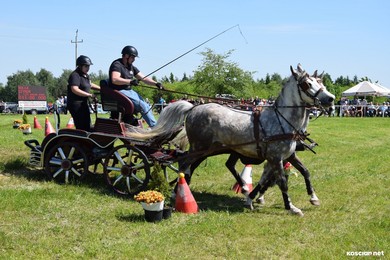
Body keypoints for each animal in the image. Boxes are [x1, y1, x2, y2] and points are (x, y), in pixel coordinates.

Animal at [126, 64, 334, 215]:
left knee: (192, 166)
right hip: (199, 147)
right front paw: (291, 207)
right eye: (307, 84)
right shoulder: (275, 158)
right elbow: (282, 181)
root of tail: (194, 107)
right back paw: (178, 192)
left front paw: (312, 198)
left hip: (205, 149)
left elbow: (303, 172)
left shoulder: (285, 156)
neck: (281, 120)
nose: (331, 100)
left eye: (320, 82)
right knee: (184, 164)